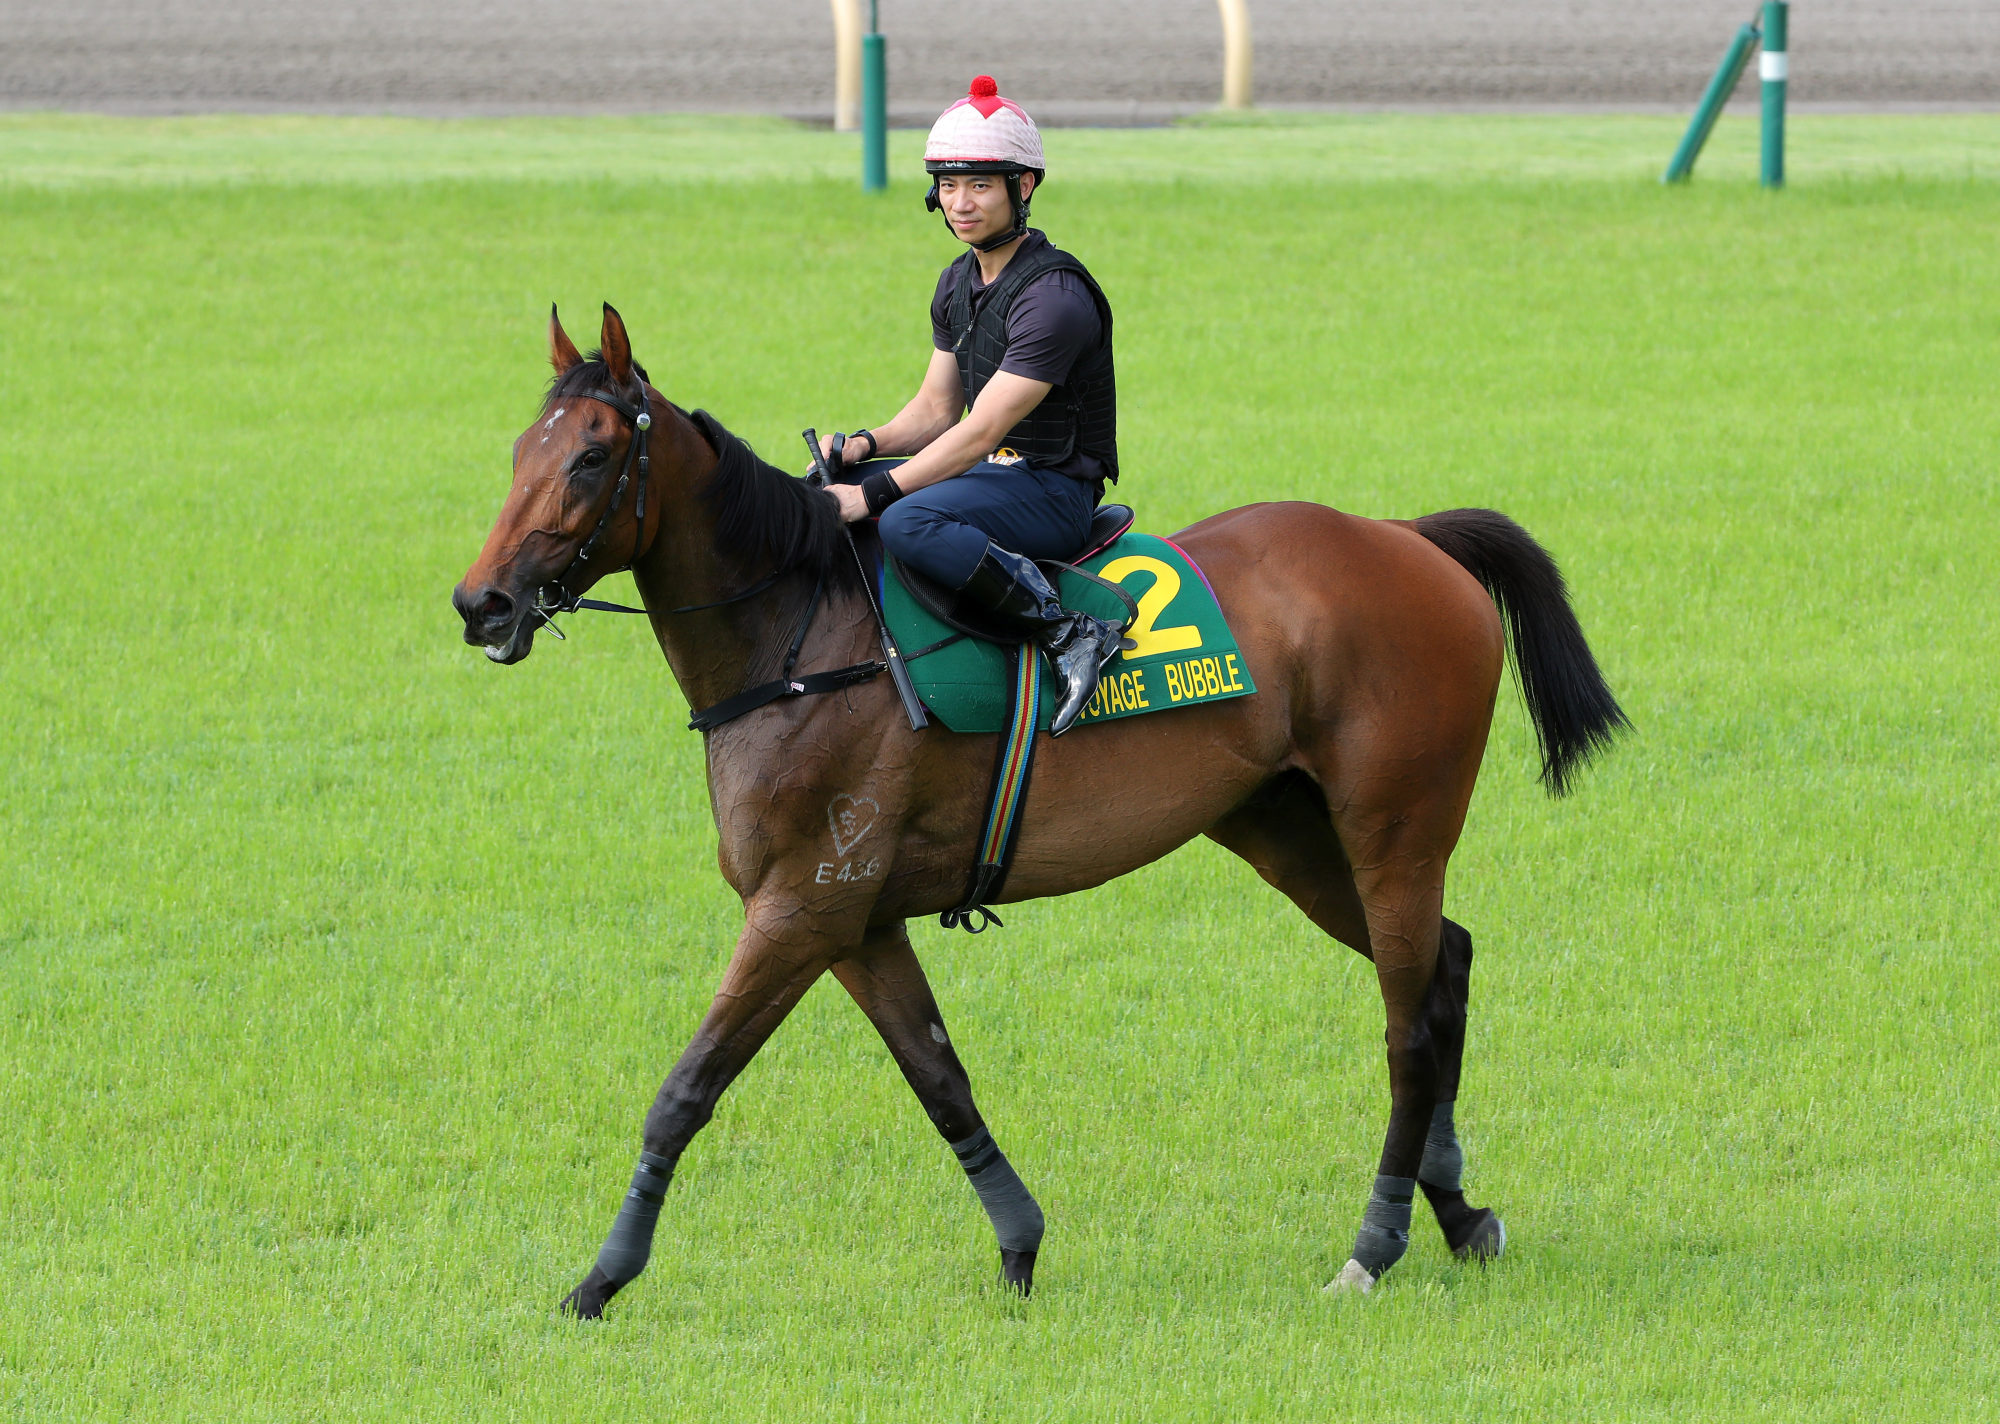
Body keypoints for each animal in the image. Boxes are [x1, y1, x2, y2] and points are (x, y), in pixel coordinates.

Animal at [450, 306, 1624, 1320]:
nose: (481, 603)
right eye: (518, 453)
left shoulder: (801, 910)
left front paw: (601, 1277)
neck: (802, 637)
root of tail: (1405, 535)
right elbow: (939, 1078)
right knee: (1446, 966)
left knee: (1407, 1025)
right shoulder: (857, 921)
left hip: (1395, 830)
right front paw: (1018, 1243)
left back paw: (1374, 1244)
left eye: (592, 457)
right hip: (1285, 830)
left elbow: (685, 1088)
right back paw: (1457, 1211)